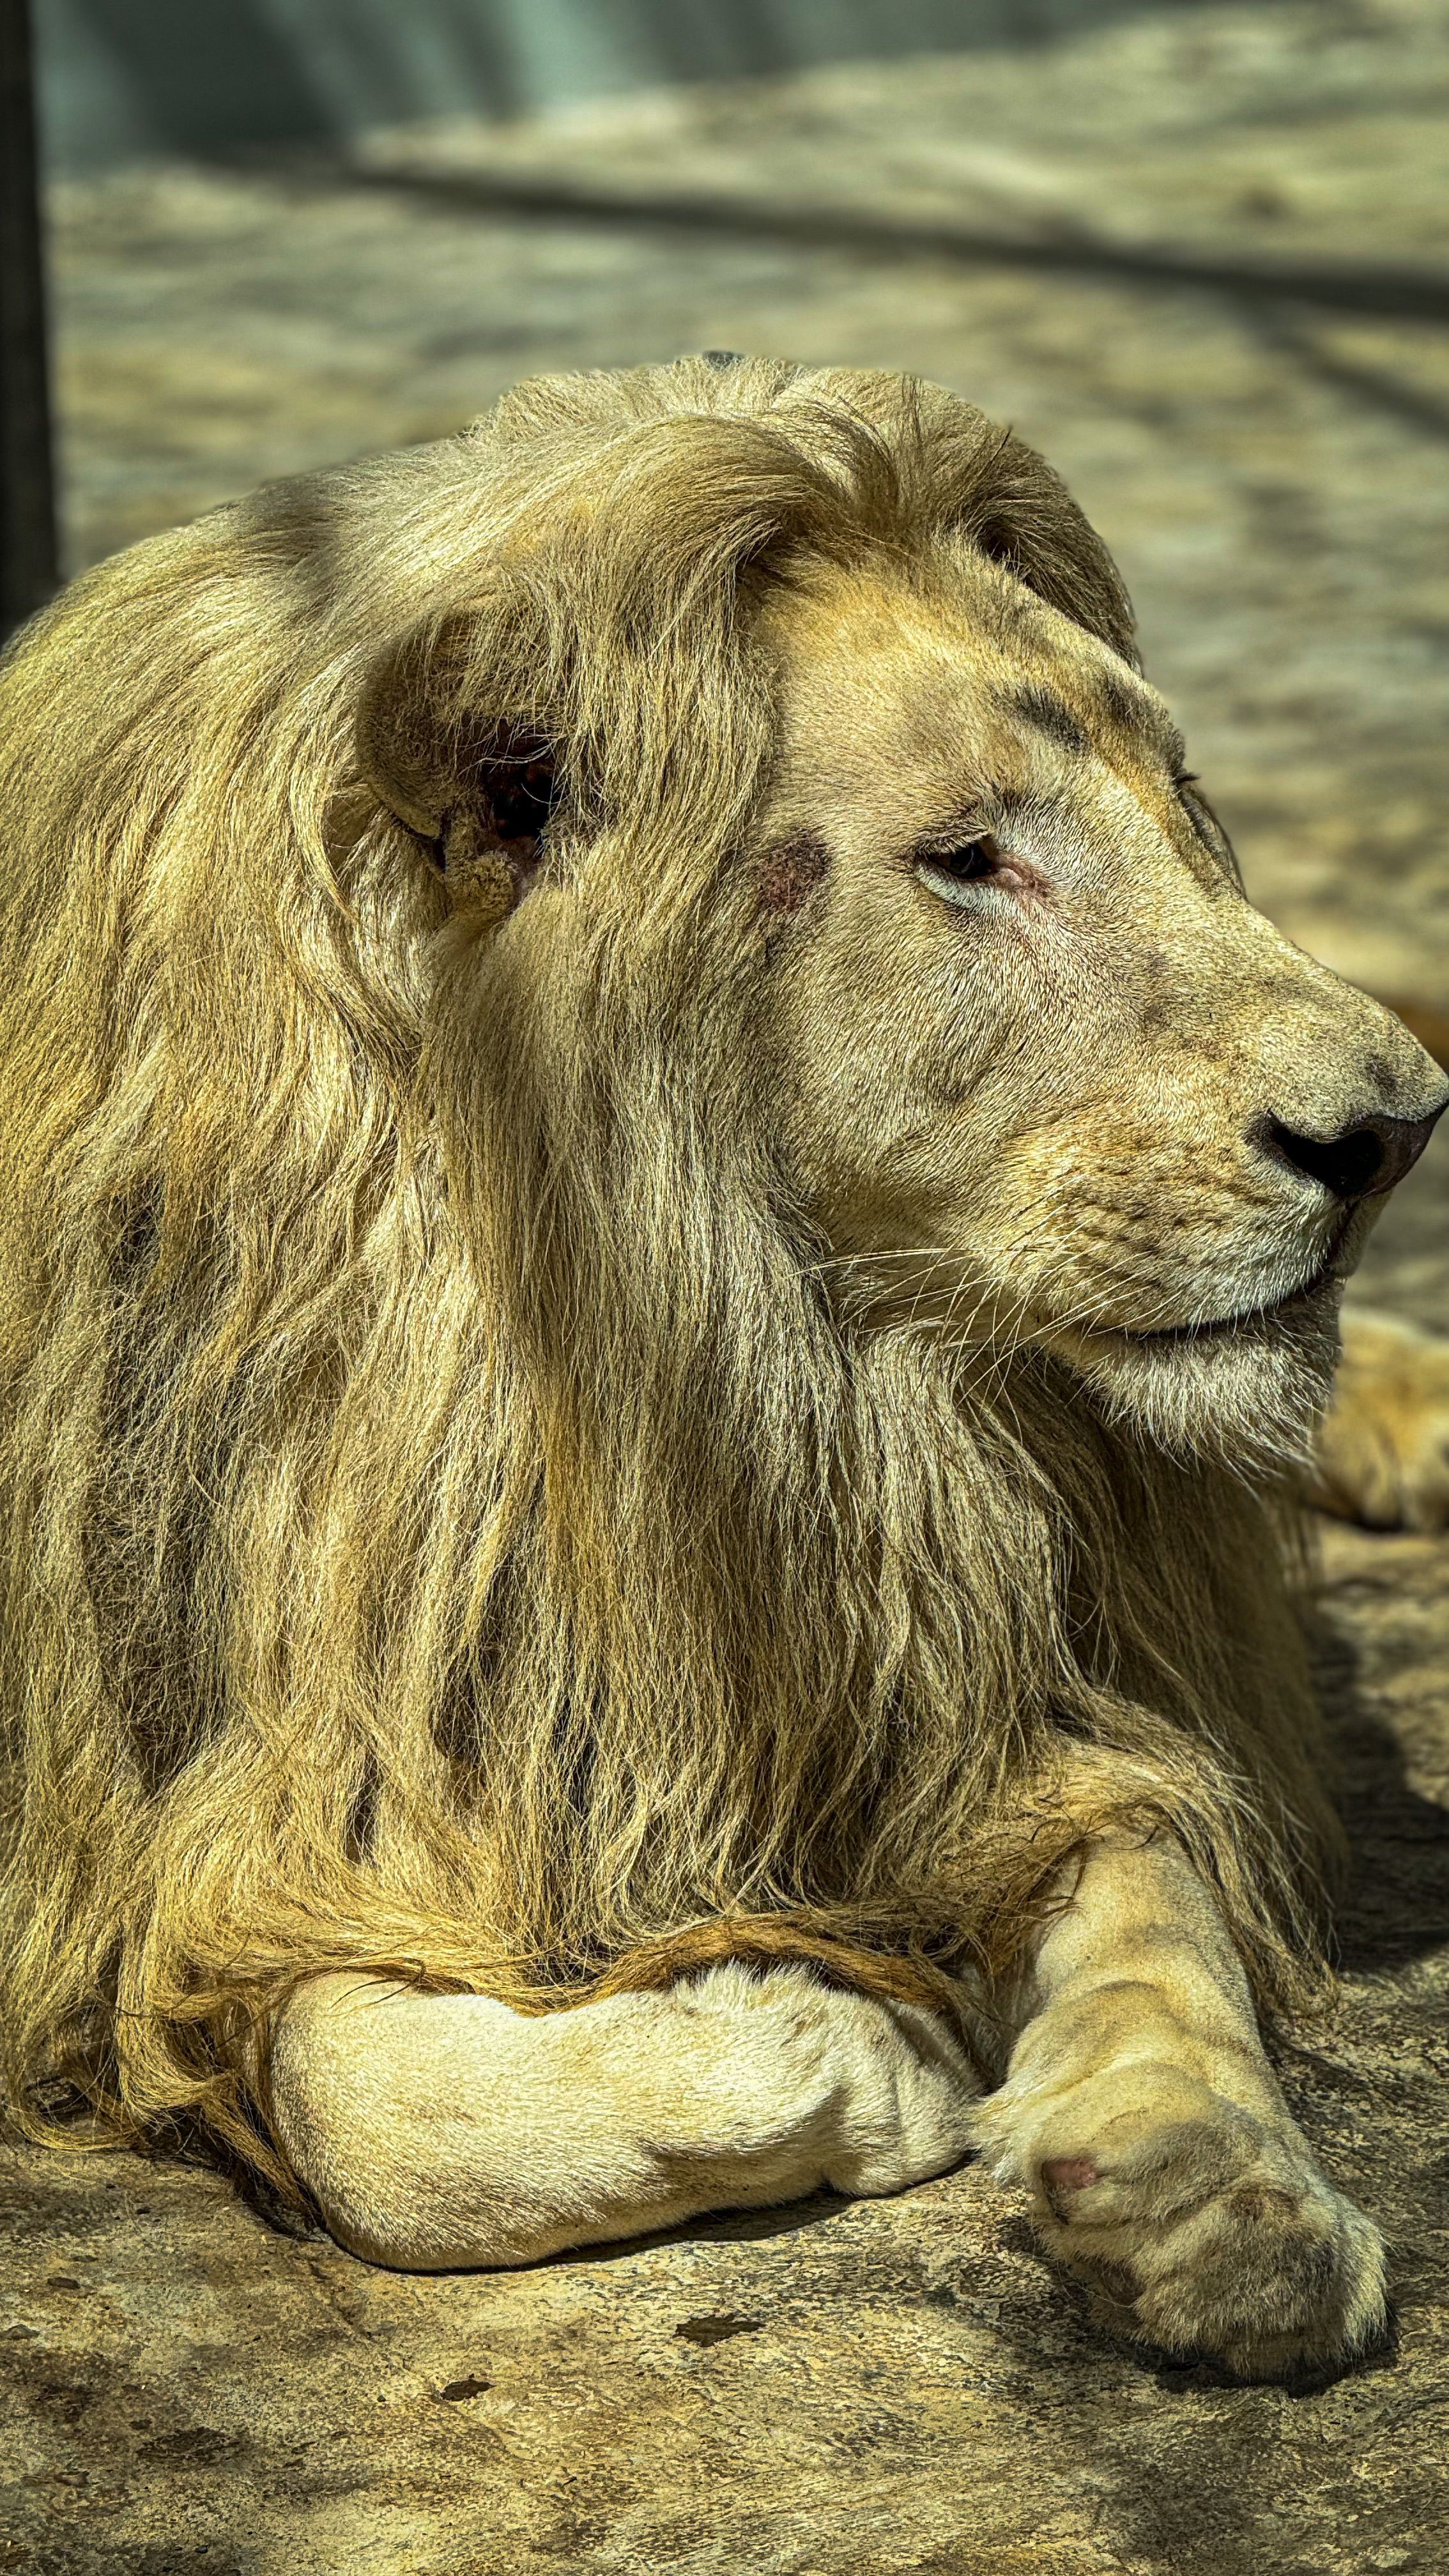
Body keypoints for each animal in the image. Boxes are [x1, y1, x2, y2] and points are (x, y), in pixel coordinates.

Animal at [2, 354, 1447, 2383]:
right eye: (968, 860)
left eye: (1185, 808)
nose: (1396, 1132)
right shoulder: (208, 1805)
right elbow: (375, 2117)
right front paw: (856, 2049)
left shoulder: (1007, 1668)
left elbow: (1155, 1904)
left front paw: (1214, 2192)